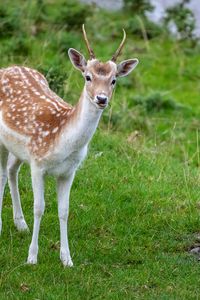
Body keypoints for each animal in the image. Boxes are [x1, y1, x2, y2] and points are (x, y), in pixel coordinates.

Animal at [0, 24, 138, 266]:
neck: (62, 141)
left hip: (17, 149)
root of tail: (6, 68)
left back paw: (20, 223)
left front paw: (67, 259)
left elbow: (63, 210)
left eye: (114, 80)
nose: (101, 99)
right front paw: (32, 257)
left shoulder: (68, 171)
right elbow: (39, 208)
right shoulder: (37, 164)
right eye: (87, 76)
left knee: (10, 170)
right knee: (0, 173)